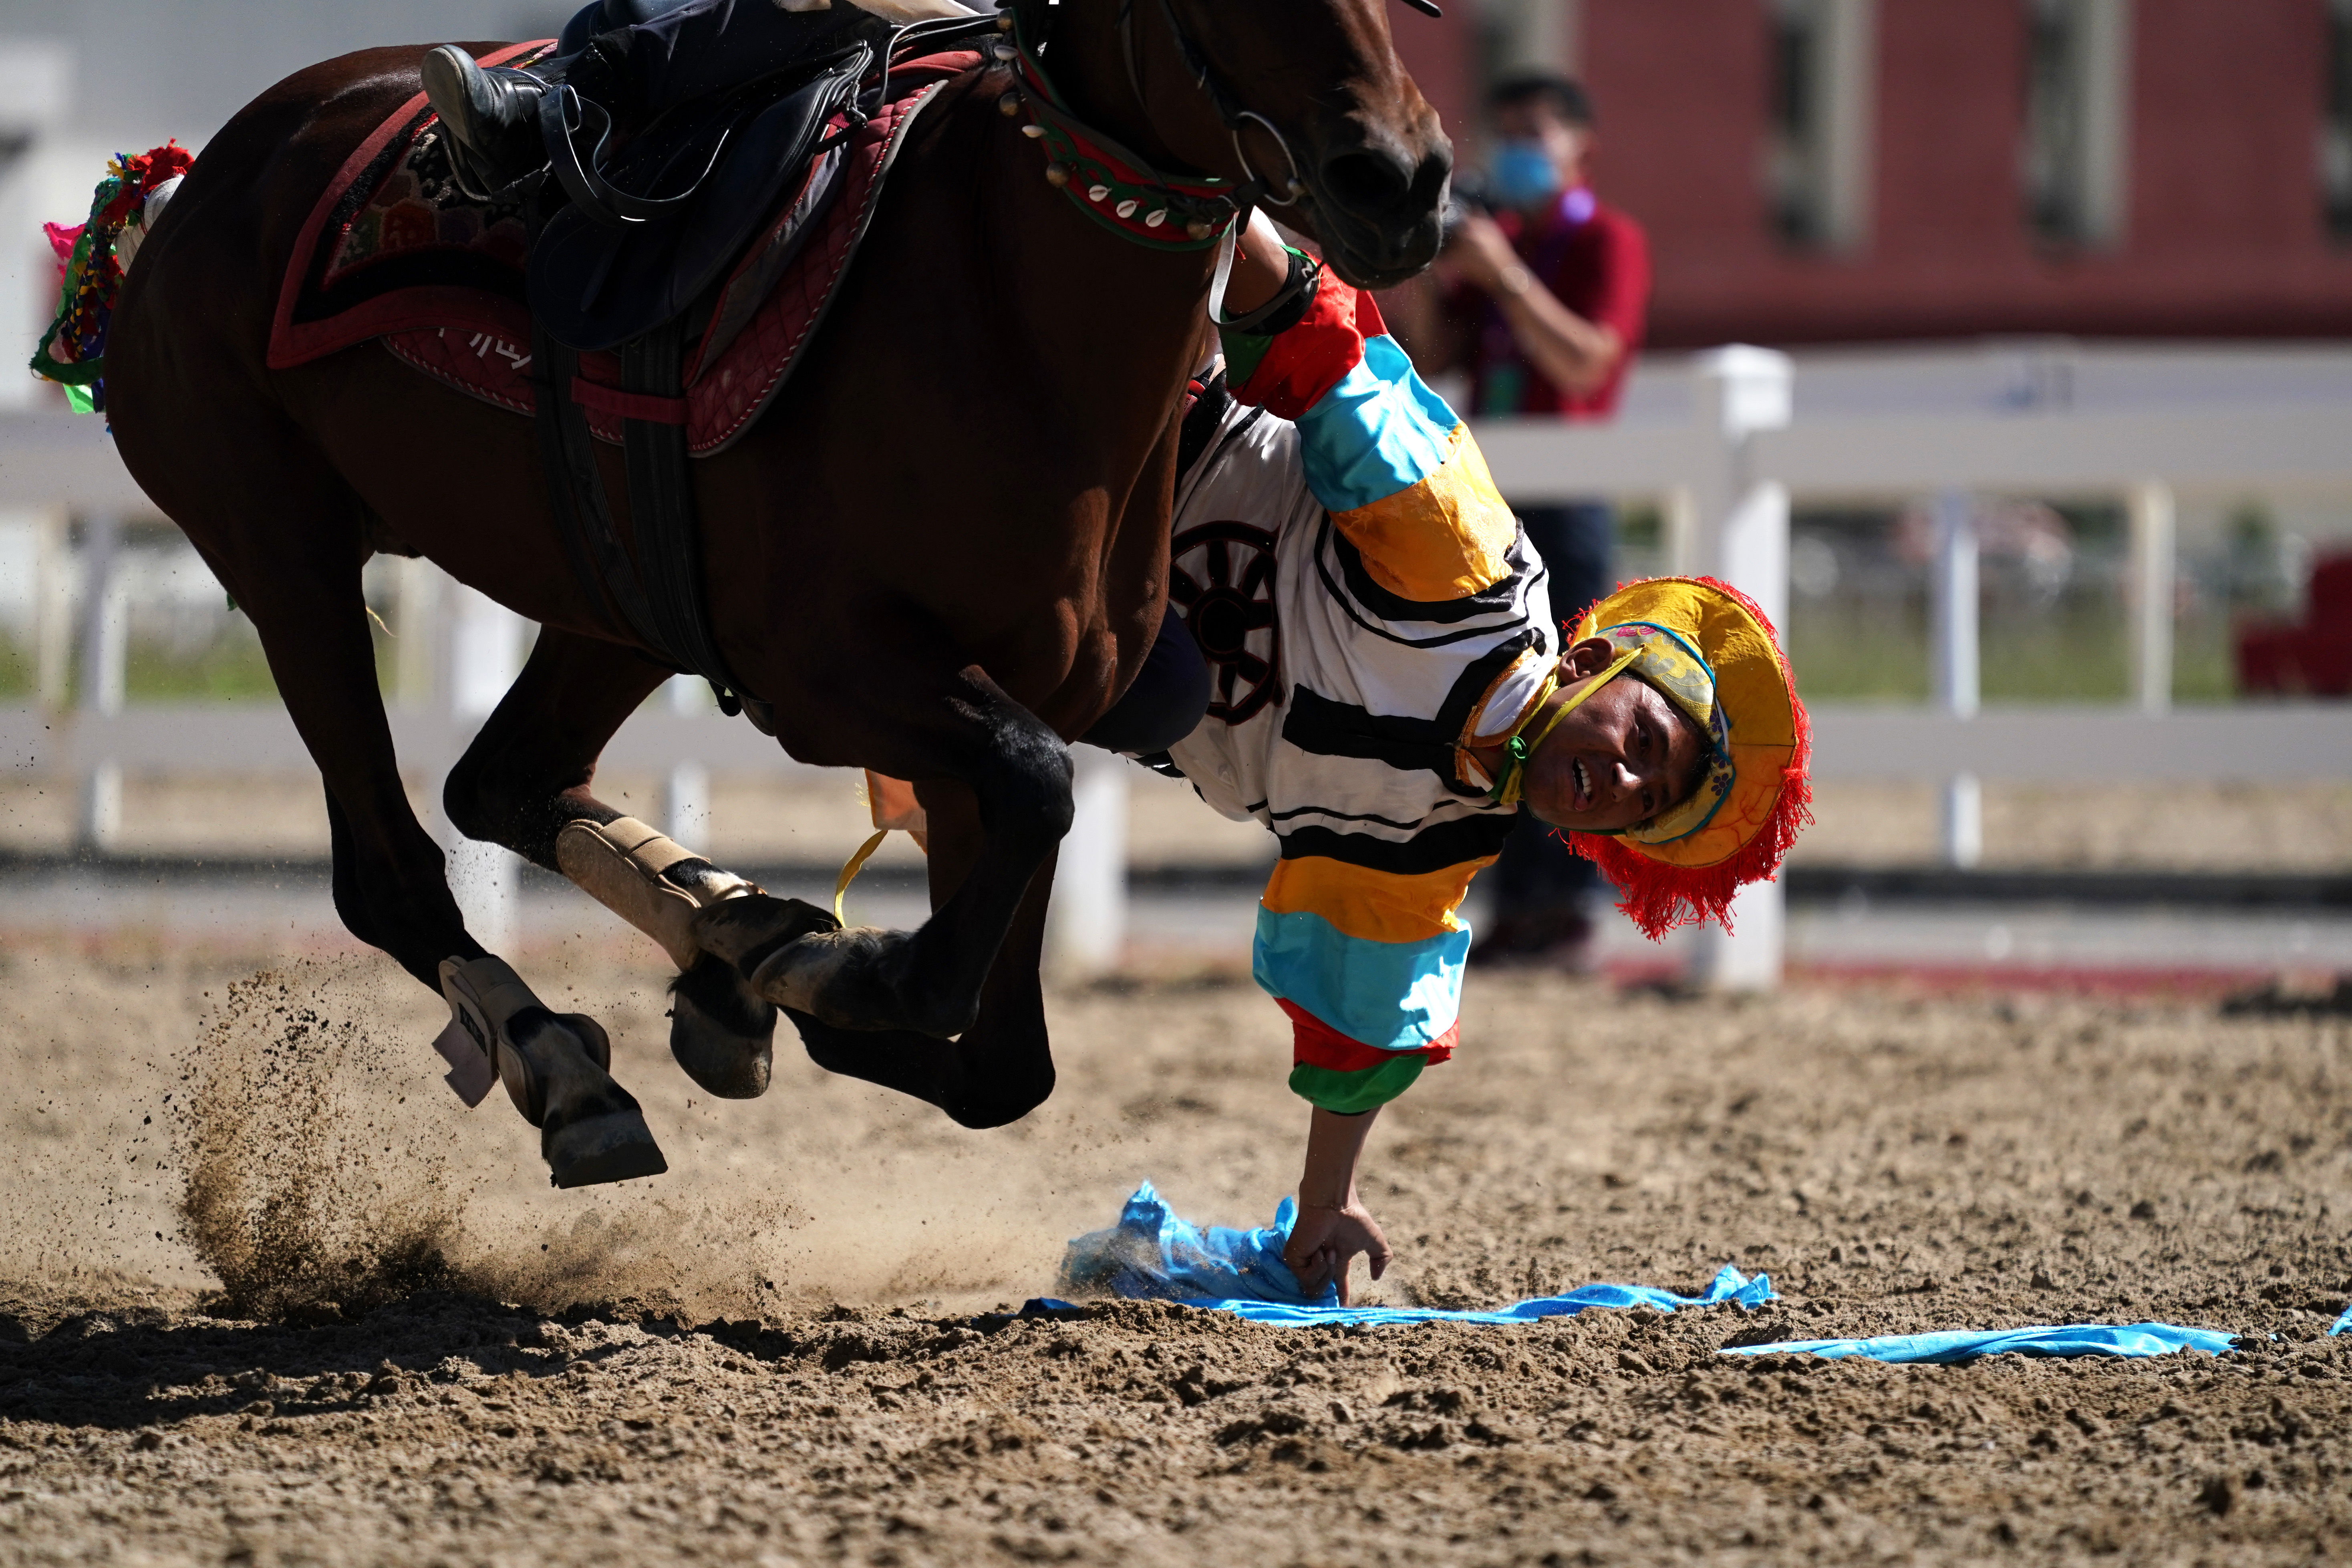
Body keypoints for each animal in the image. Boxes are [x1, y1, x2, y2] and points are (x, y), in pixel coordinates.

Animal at [106, 0, 1449, 1175]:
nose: (1400, 180)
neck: (998, 300)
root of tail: (205, 177)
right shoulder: (830, 674)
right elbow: (1021, 811)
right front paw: (848, 975)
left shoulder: (997, 706)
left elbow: (1002, 1058)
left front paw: (766, 978)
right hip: (284, 558)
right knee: (388, 868)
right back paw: (575, 1072)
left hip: (615, 607)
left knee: (505, 781)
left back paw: (725, 937)